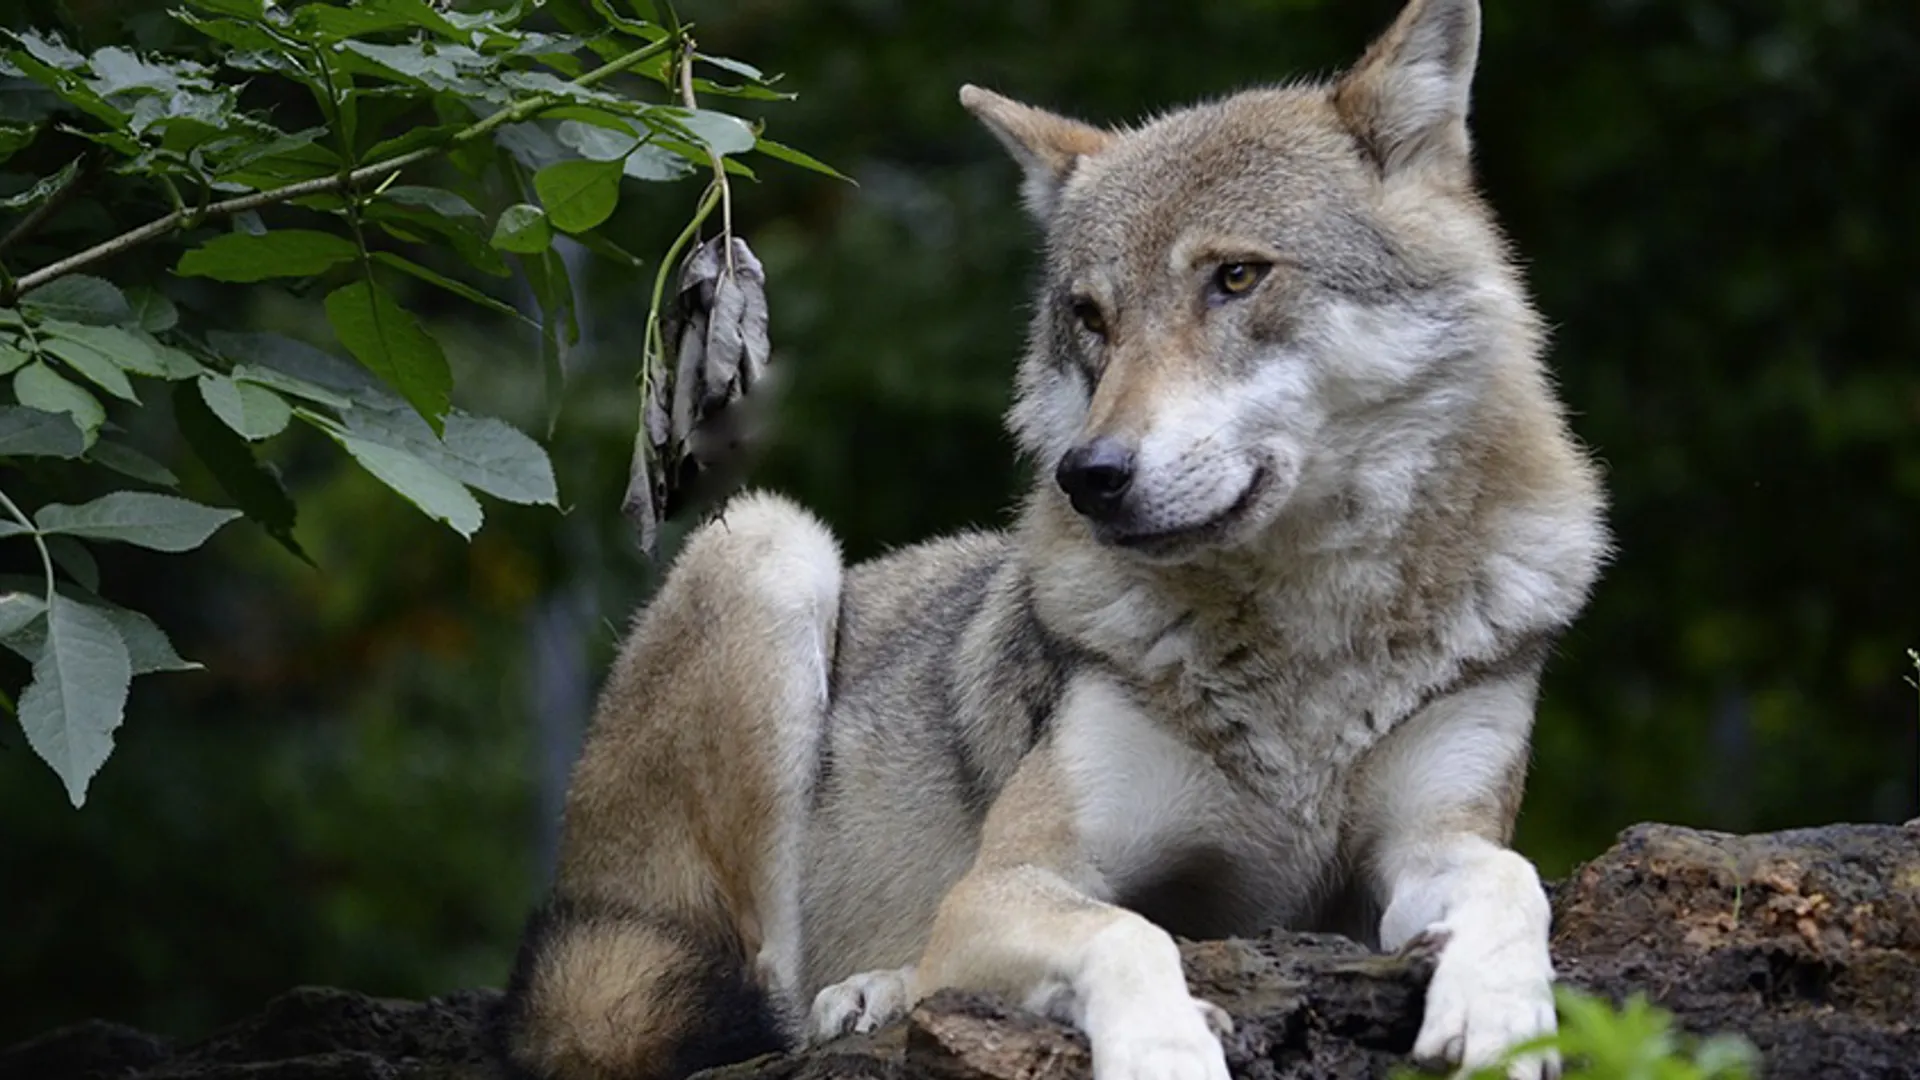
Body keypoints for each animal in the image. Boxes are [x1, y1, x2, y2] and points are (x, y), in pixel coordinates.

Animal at [493, 1, 1608, 1078]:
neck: (1305, 644)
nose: (1091, 476)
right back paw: (873, 991)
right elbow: (1128, 934)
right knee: (771, 996)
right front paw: (1167, 1053)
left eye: (1236, 278)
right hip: (770, 546)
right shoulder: (1016, 878)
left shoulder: (1427, 845)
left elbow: (1515, 881)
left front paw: (1504, 1013)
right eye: (1090, 316)